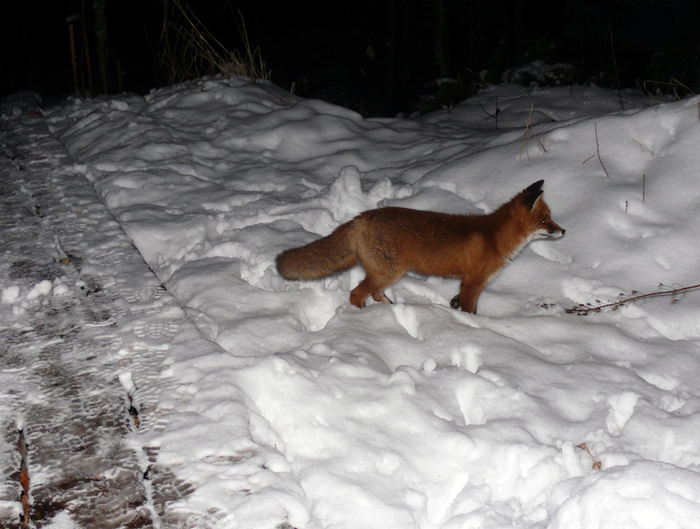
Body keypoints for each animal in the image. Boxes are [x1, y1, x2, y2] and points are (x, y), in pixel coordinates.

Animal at [276, 182, 568, 314]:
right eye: (545, 220)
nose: (564, 231)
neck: (495, 236)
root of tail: (361, 217)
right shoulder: (474, 283)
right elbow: (471, 311)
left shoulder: (464, 284)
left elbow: (457, 302)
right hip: (388, 273)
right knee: (356, 294)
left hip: (386, 274)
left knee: (375, 294)